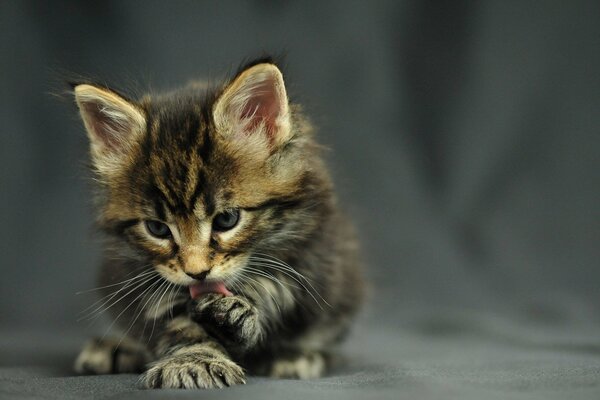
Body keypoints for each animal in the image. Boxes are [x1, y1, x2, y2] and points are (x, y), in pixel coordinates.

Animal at [72, 57, 364, 390]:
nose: (197, 273)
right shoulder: (143, 278)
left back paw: (296, 356)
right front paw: (195, 360)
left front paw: (235, 313)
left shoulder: (308, 253)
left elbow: (273, 289)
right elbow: (179, 324)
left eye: (226, 220)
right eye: (157, 229)